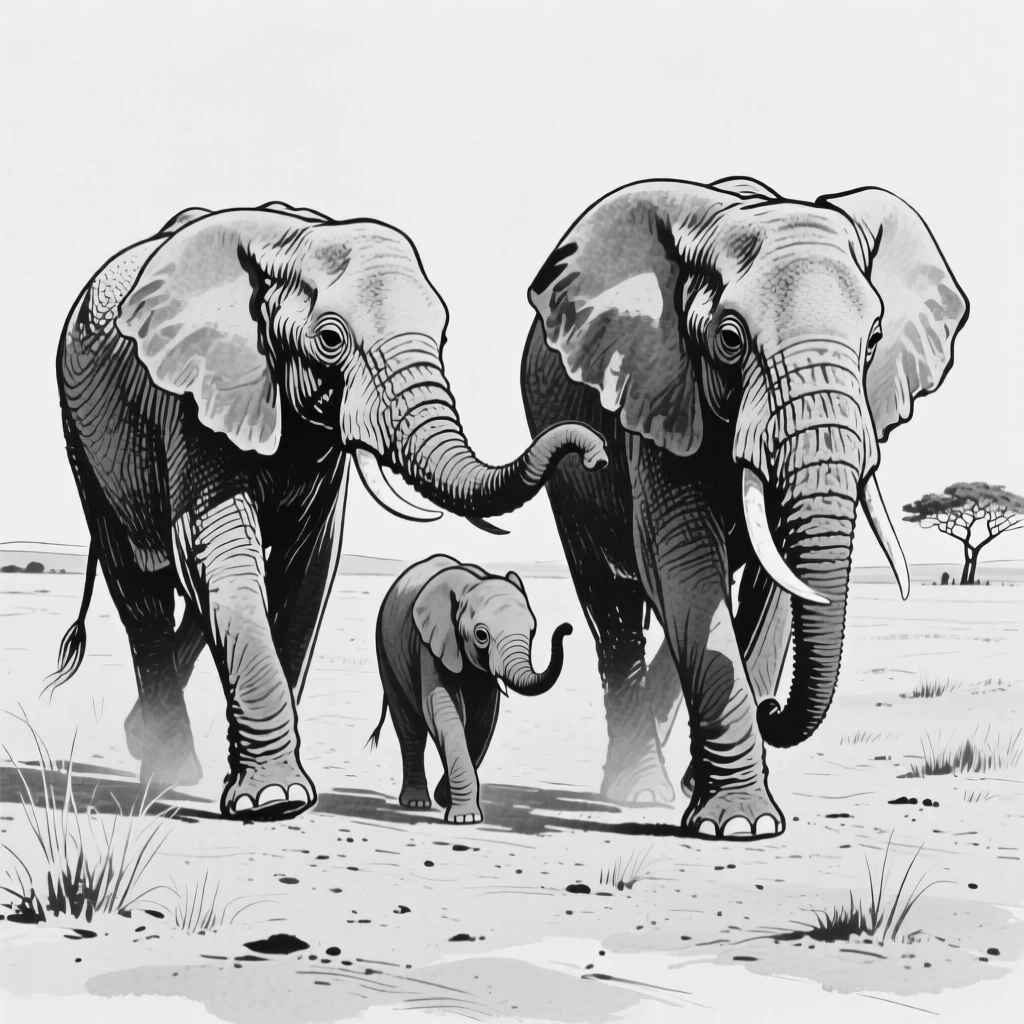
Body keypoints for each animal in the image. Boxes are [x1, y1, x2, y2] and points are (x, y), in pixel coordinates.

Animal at [369, 554, 572, 823]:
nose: (567, 628)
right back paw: (416, 803)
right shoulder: (431, 644)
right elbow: (444, 711)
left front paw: (446, 799)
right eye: (481, 635)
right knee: (409, 728)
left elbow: (482, 721)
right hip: (386, 651)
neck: (471, 585)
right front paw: (465, 818)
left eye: (533, 630)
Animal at [522, 176, 968, 840]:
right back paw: (640, 792)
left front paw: (720, 800)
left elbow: (772, 584)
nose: (774, 707)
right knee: (614, 606)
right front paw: (739, 825)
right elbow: (683, 559)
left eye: (875, 340)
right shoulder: (657, 388)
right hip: (567, 471)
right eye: (729, 340)